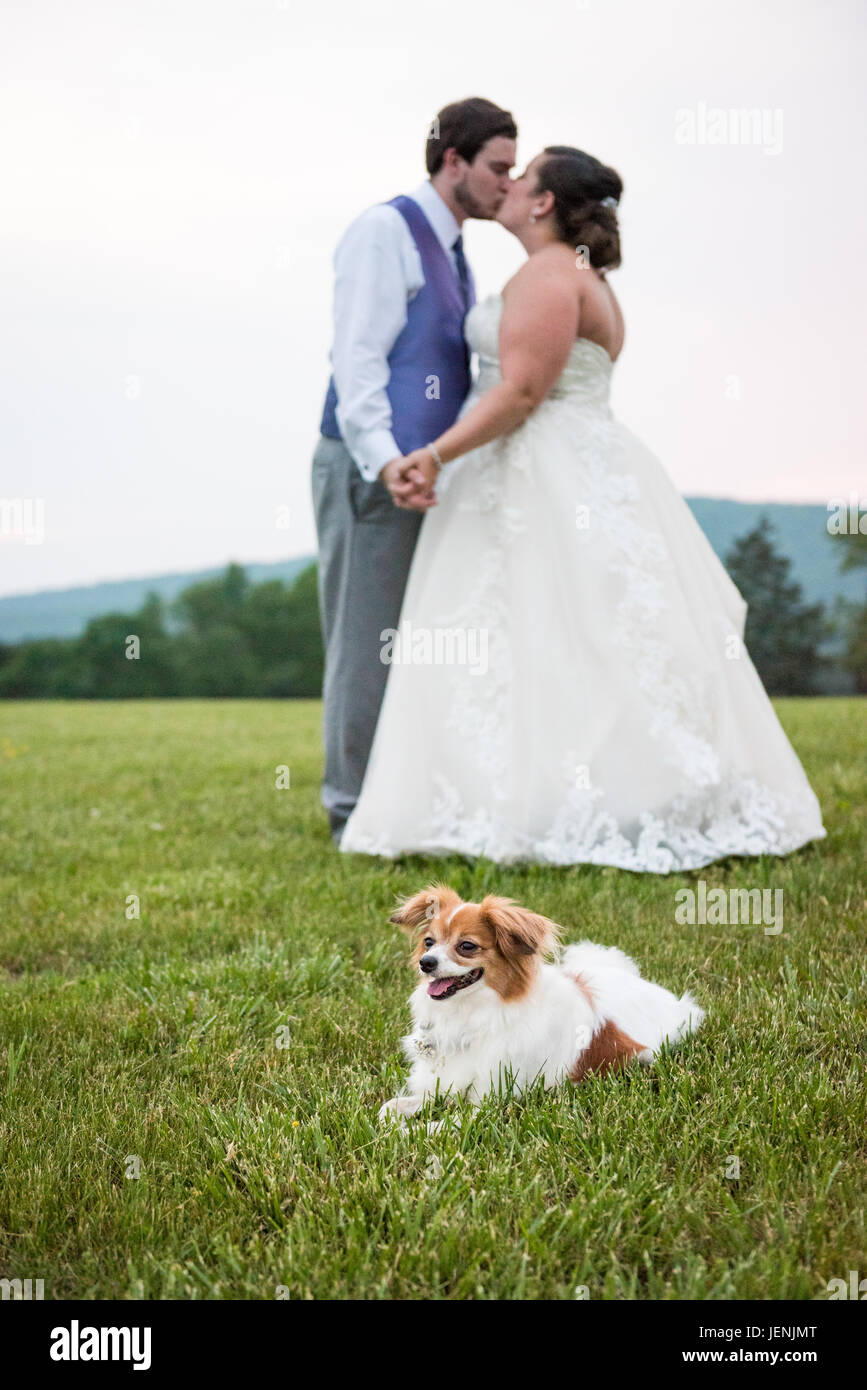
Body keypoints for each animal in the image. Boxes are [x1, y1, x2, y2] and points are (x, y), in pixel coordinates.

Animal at [377, 884, 705, 1123]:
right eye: (429, 942)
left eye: (466, 946)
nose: (426, 963)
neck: (474, 1014)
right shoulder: (444, 1082)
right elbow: (389, 1108)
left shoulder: (488, 1102)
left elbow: (438, 1127)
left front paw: (407, 1133)